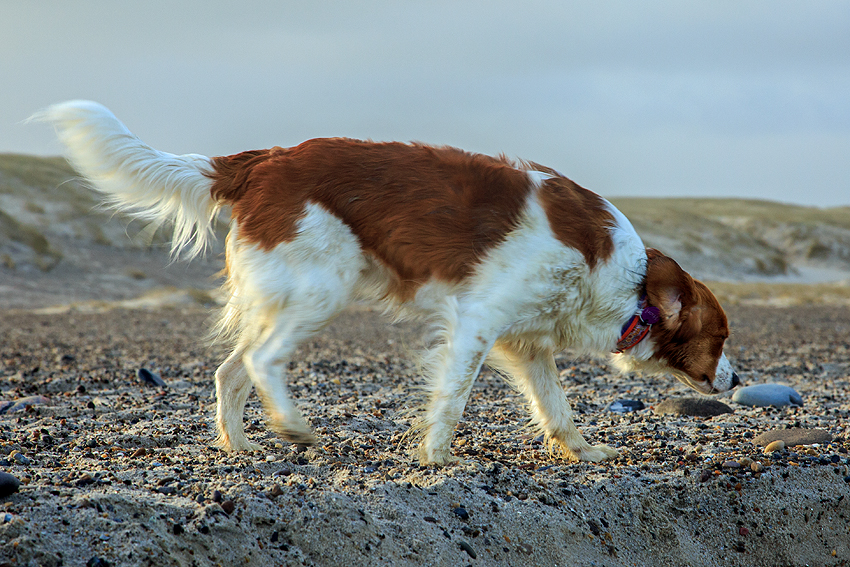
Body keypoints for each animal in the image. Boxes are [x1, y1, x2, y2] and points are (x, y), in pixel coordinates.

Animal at [34, 102, 736, 466]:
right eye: (723, 338)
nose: (734, 381)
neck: (621, 278)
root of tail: (262, 161)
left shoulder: (527, 344)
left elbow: (557, 409)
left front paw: (586, 454)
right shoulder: (477, 322)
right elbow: (452, 398)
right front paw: (437, 459)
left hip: (287, 293)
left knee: (228, 371)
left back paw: (239, 446)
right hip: (323, 287)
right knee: (261, 362)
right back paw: (294, 427)